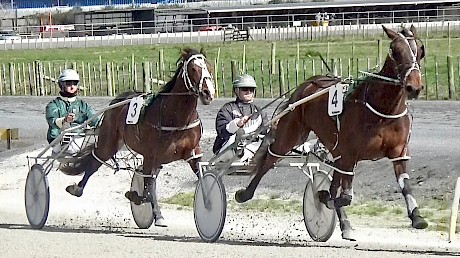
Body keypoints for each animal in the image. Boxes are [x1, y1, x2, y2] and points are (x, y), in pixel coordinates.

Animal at [59, 47, 216, 227]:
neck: (176, 118)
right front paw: (156, 214)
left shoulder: (193, 154)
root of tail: (117, 100)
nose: (208, 93)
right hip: (109, 142)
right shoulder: (152, 155)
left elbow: (199, 177)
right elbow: (149, 185)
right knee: (94, 161)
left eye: (209, 68)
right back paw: (77, 189)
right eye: (193, 69)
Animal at [235, 25, 430, 241]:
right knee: (269, 159)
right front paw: (323, 197)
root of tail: (305, 85)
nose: (414, 87)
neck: (383, 110)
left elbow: (405, 186)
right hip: (291, 134)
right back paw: (245, 194)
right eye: (395, 51)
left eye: (420, 50)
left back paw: (344, 223)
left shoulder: (398, 152)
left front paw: (417, 217)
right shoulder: (350, 155)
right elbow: (344, 196)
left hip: (334, 148)